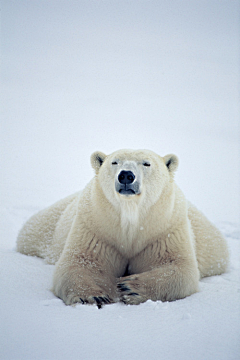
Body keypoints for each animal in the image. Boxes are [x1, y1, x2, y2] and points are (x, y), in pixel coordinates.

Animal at [16, 149, 229, 306]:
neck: (130, 218)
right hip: (48, 226)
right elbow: (80, 262)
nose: (126, 175)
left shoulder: (165, 230)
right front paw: (94, 296)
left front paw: (129, 287)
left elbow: (179, 268)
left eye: (146, 163)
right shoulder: (95, 228)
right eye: (114, 162)